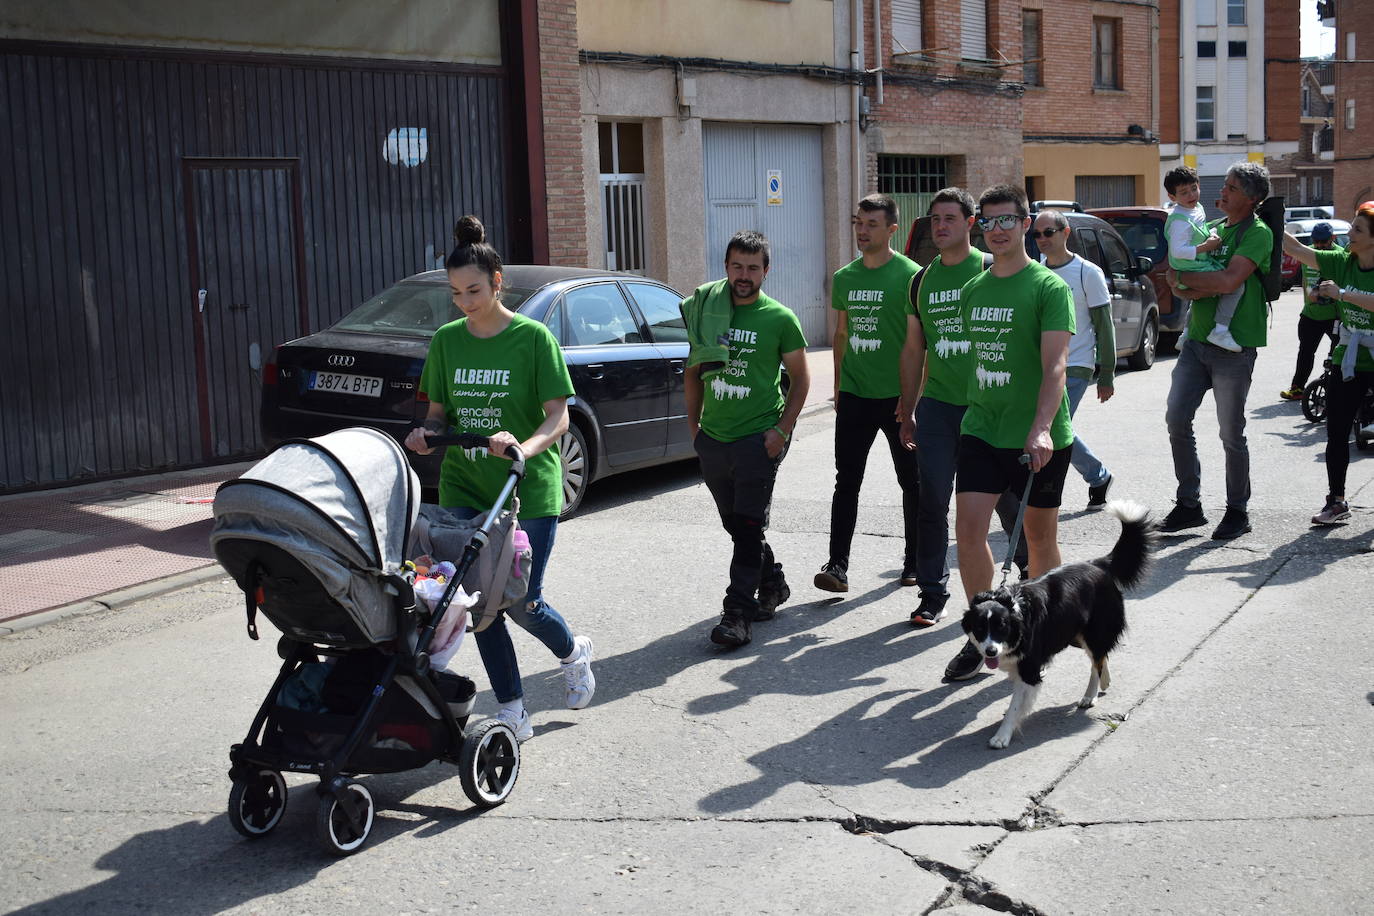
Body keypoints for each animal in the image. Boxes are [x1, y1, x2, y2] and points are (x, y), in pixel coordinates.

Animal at [961, 502, 1154, 752]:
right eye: (980, 628)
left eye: (1002, 627)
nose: (991, 652)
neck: (1014, 613)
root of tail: (1097, 564)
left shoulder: (1029, 668)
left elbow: (1016, 705)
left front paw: (1002, 735)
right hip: (1075, 634)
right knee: (1101, 657)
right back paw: (1105, 681)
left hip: (1092, 631)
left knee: (1097, 660)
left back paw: (1090, 695)